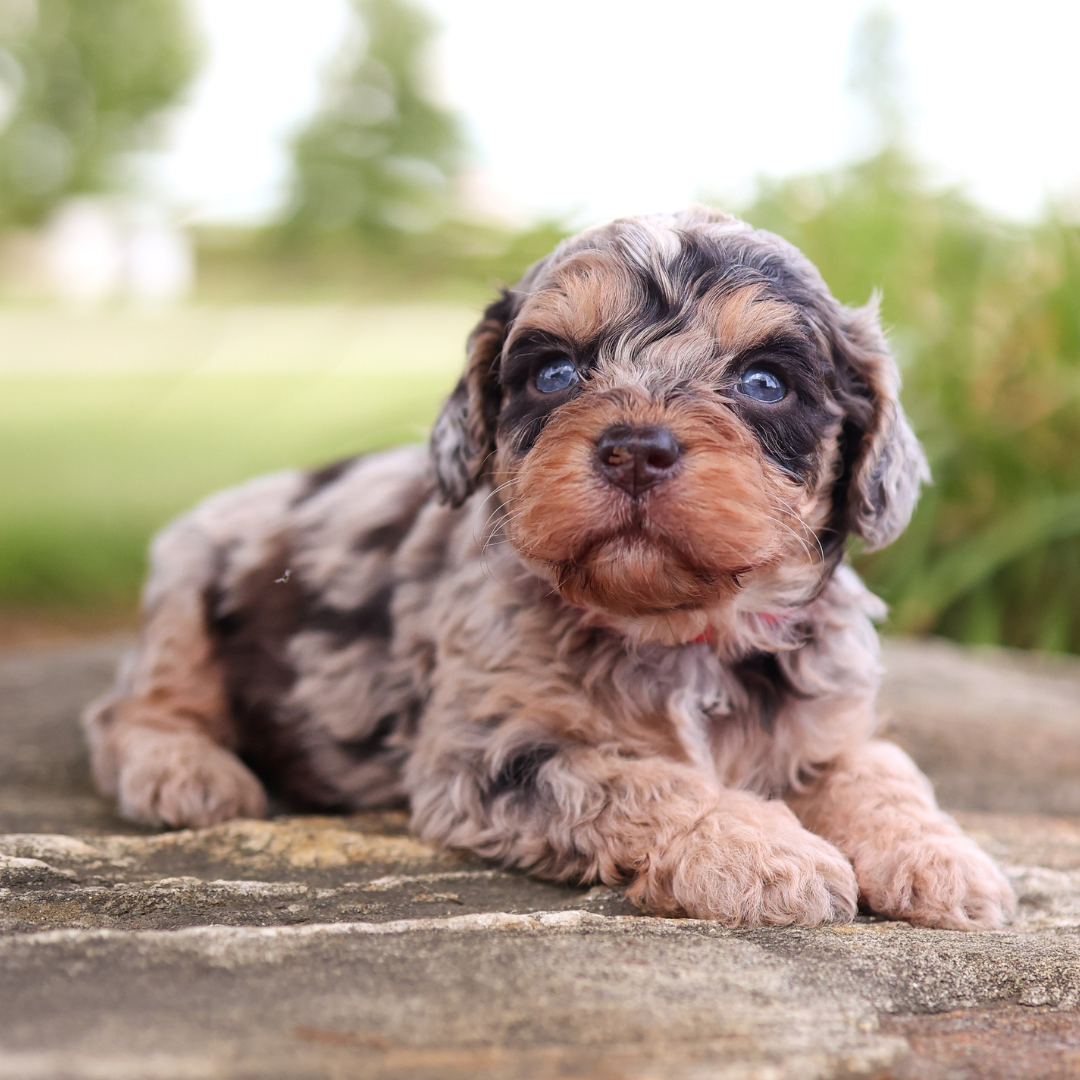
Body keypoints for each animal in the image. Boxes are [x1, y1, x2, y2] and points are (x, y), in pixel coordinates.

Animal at [82, 208, 1010, 928]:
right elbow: (643, 781)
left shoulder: (832, 720)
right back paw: (184, 772)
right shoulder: (492, 753)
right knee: (127, 710)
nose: (635, 448)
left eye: (764, 382)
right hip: (183, 588)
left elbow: (883, 771)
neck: (679, 632)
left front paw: (944, 861)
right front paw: (765, 854)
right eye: (556, 371)